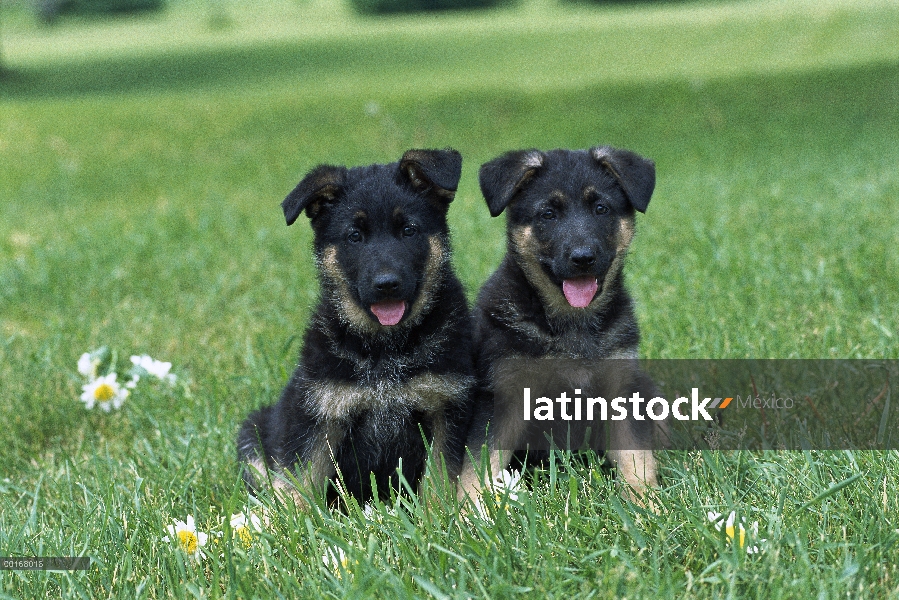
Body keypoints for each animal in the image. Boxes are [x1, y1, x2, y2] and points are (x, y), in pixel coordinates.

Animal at [239, 149, 478, 506]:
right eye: (355, 236)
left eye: (409, 230)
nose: (387, 284)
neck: (385, 348)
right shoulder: (320, 413)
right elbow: (301, 480)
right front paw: (290, 519)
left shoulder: (446, 407)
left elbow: (438, 479)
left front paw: (436, 515)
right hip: (254, 433)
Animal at [464, 146, 660, 502]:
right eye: (548, 214)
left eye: (600, 208)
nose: (582, 258)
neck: (572, 322)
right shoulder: (503, 397)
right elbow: (476, 467)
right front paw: (466, 511)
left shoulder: (621, 390)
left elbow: (636, 460)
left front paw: (648, 505)